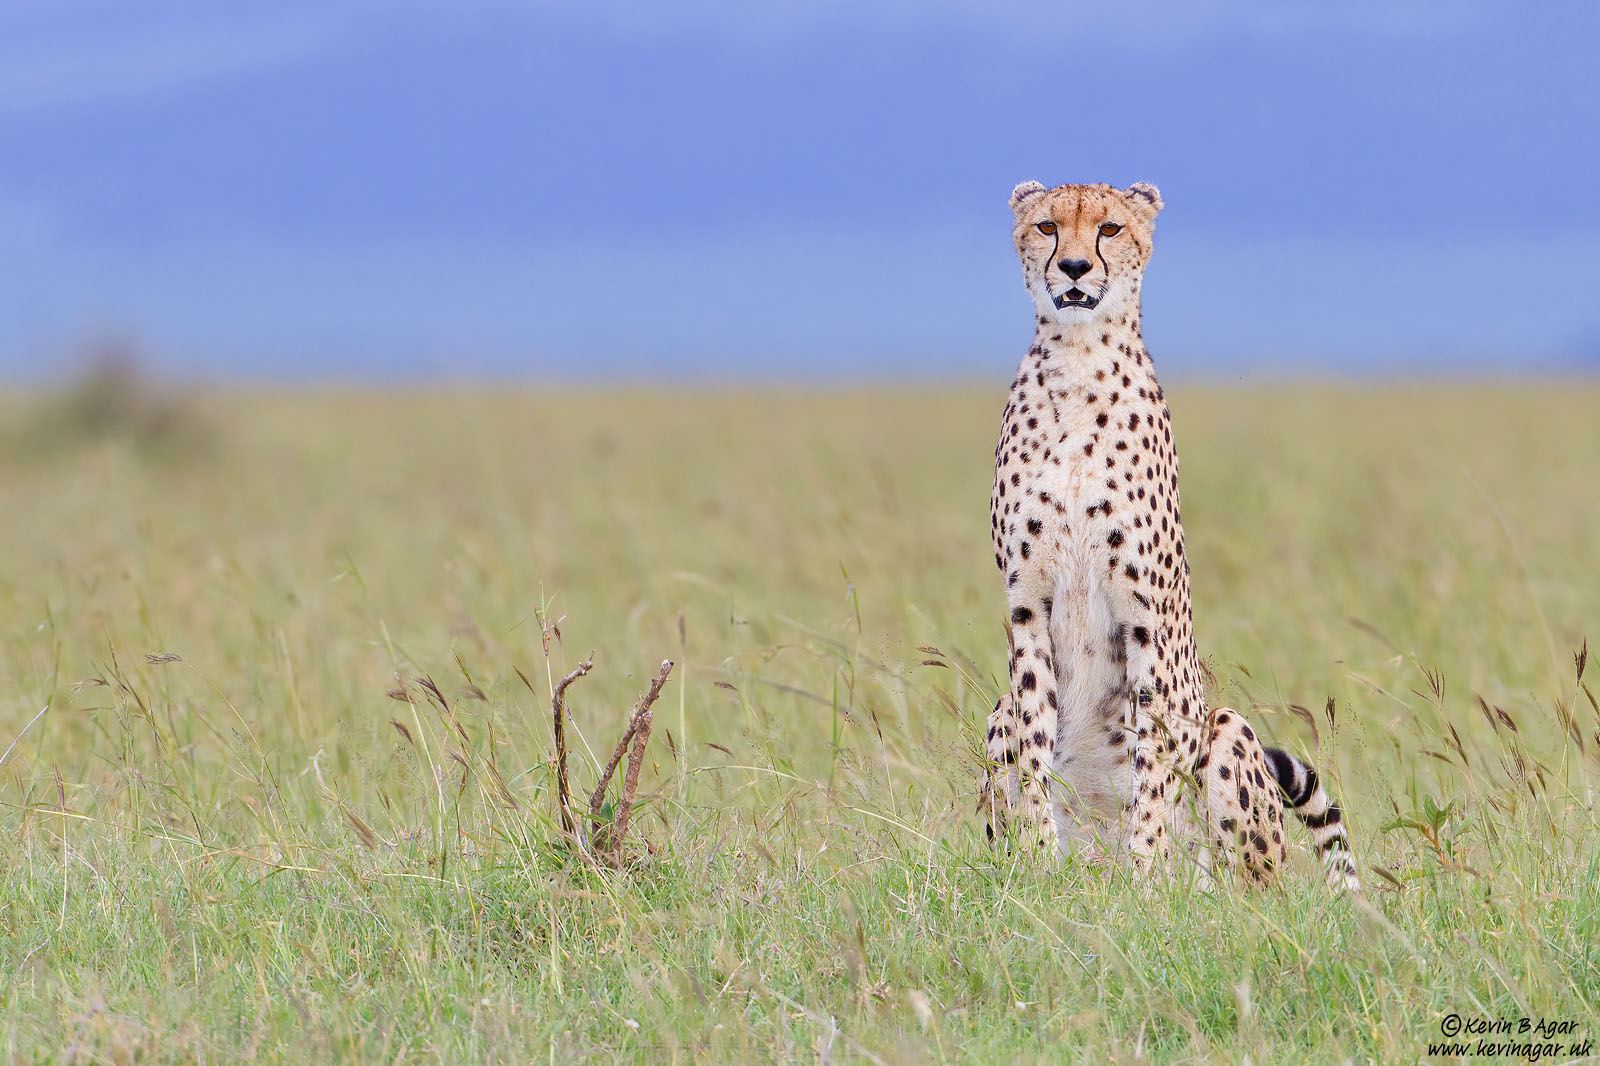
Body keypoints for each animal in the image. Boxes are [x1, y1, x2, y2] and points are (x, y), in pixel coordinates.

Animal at [976, 179, 1359, 891]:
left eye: (1110, 229)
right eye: (1046, 227)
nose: (1074, 268)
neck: (1079, 358)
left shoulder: (1144, 615)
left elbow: (1151, 762)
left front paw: (1146, 877)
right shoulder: (1026, 606)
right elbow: (1036, 747)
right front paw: (1038, 862)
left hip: (1230, 735)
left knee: (1250, 885)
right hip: (995, 717)